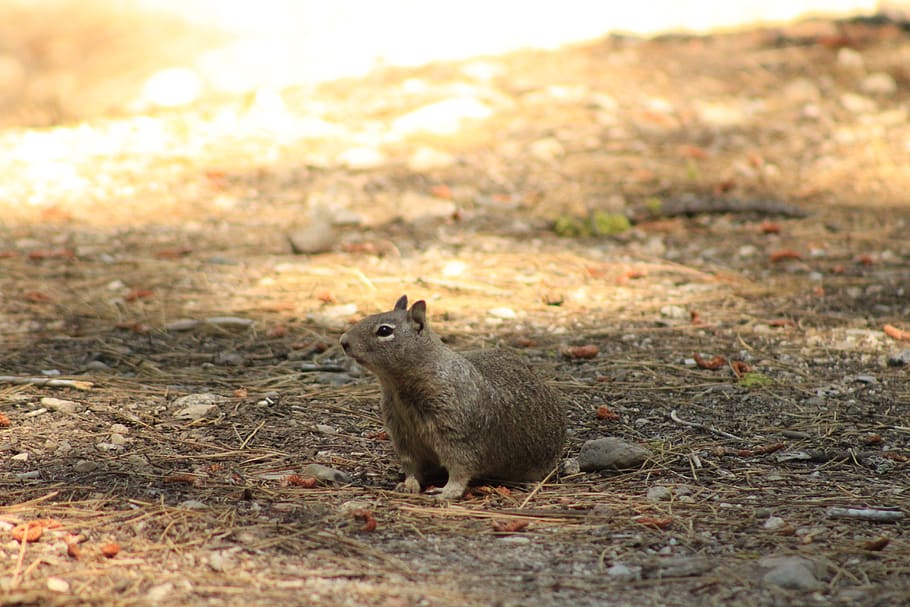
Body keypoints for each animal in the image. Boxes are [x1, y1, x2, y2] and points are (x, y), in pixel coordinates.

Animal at [340, 295, 566, 500]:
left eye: (384, 331)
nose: (343, 342)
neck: (398, 387)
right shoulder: (402, 434)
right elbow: (411, 465)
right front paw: (408, 484)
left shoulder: (457, 434)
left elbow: (460, 467)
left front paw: (447, 491)